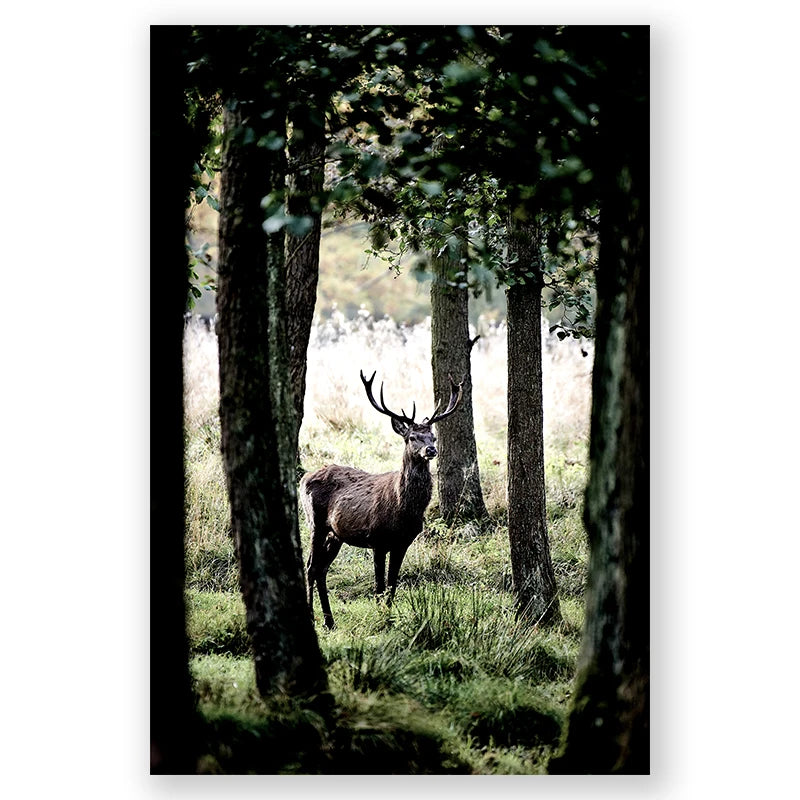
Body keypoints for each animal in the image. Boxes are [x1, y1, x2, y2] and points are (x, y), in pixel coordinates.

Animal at [300, 369, 463, 629]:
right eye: (412, 437)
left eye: (433, 437)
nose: (430, 450)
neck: (403, 510)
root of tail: (303, 478)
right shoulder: (376, 539)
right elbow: (378, 587)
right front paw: (381, 621)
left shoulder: (402, 543)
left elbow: (392, 585)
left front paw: (388, 618)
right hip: (315, 523)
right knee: (310, 567)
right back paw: (313, 616)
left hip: (336, 534)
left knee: (321, 569)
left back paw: (330, 621)